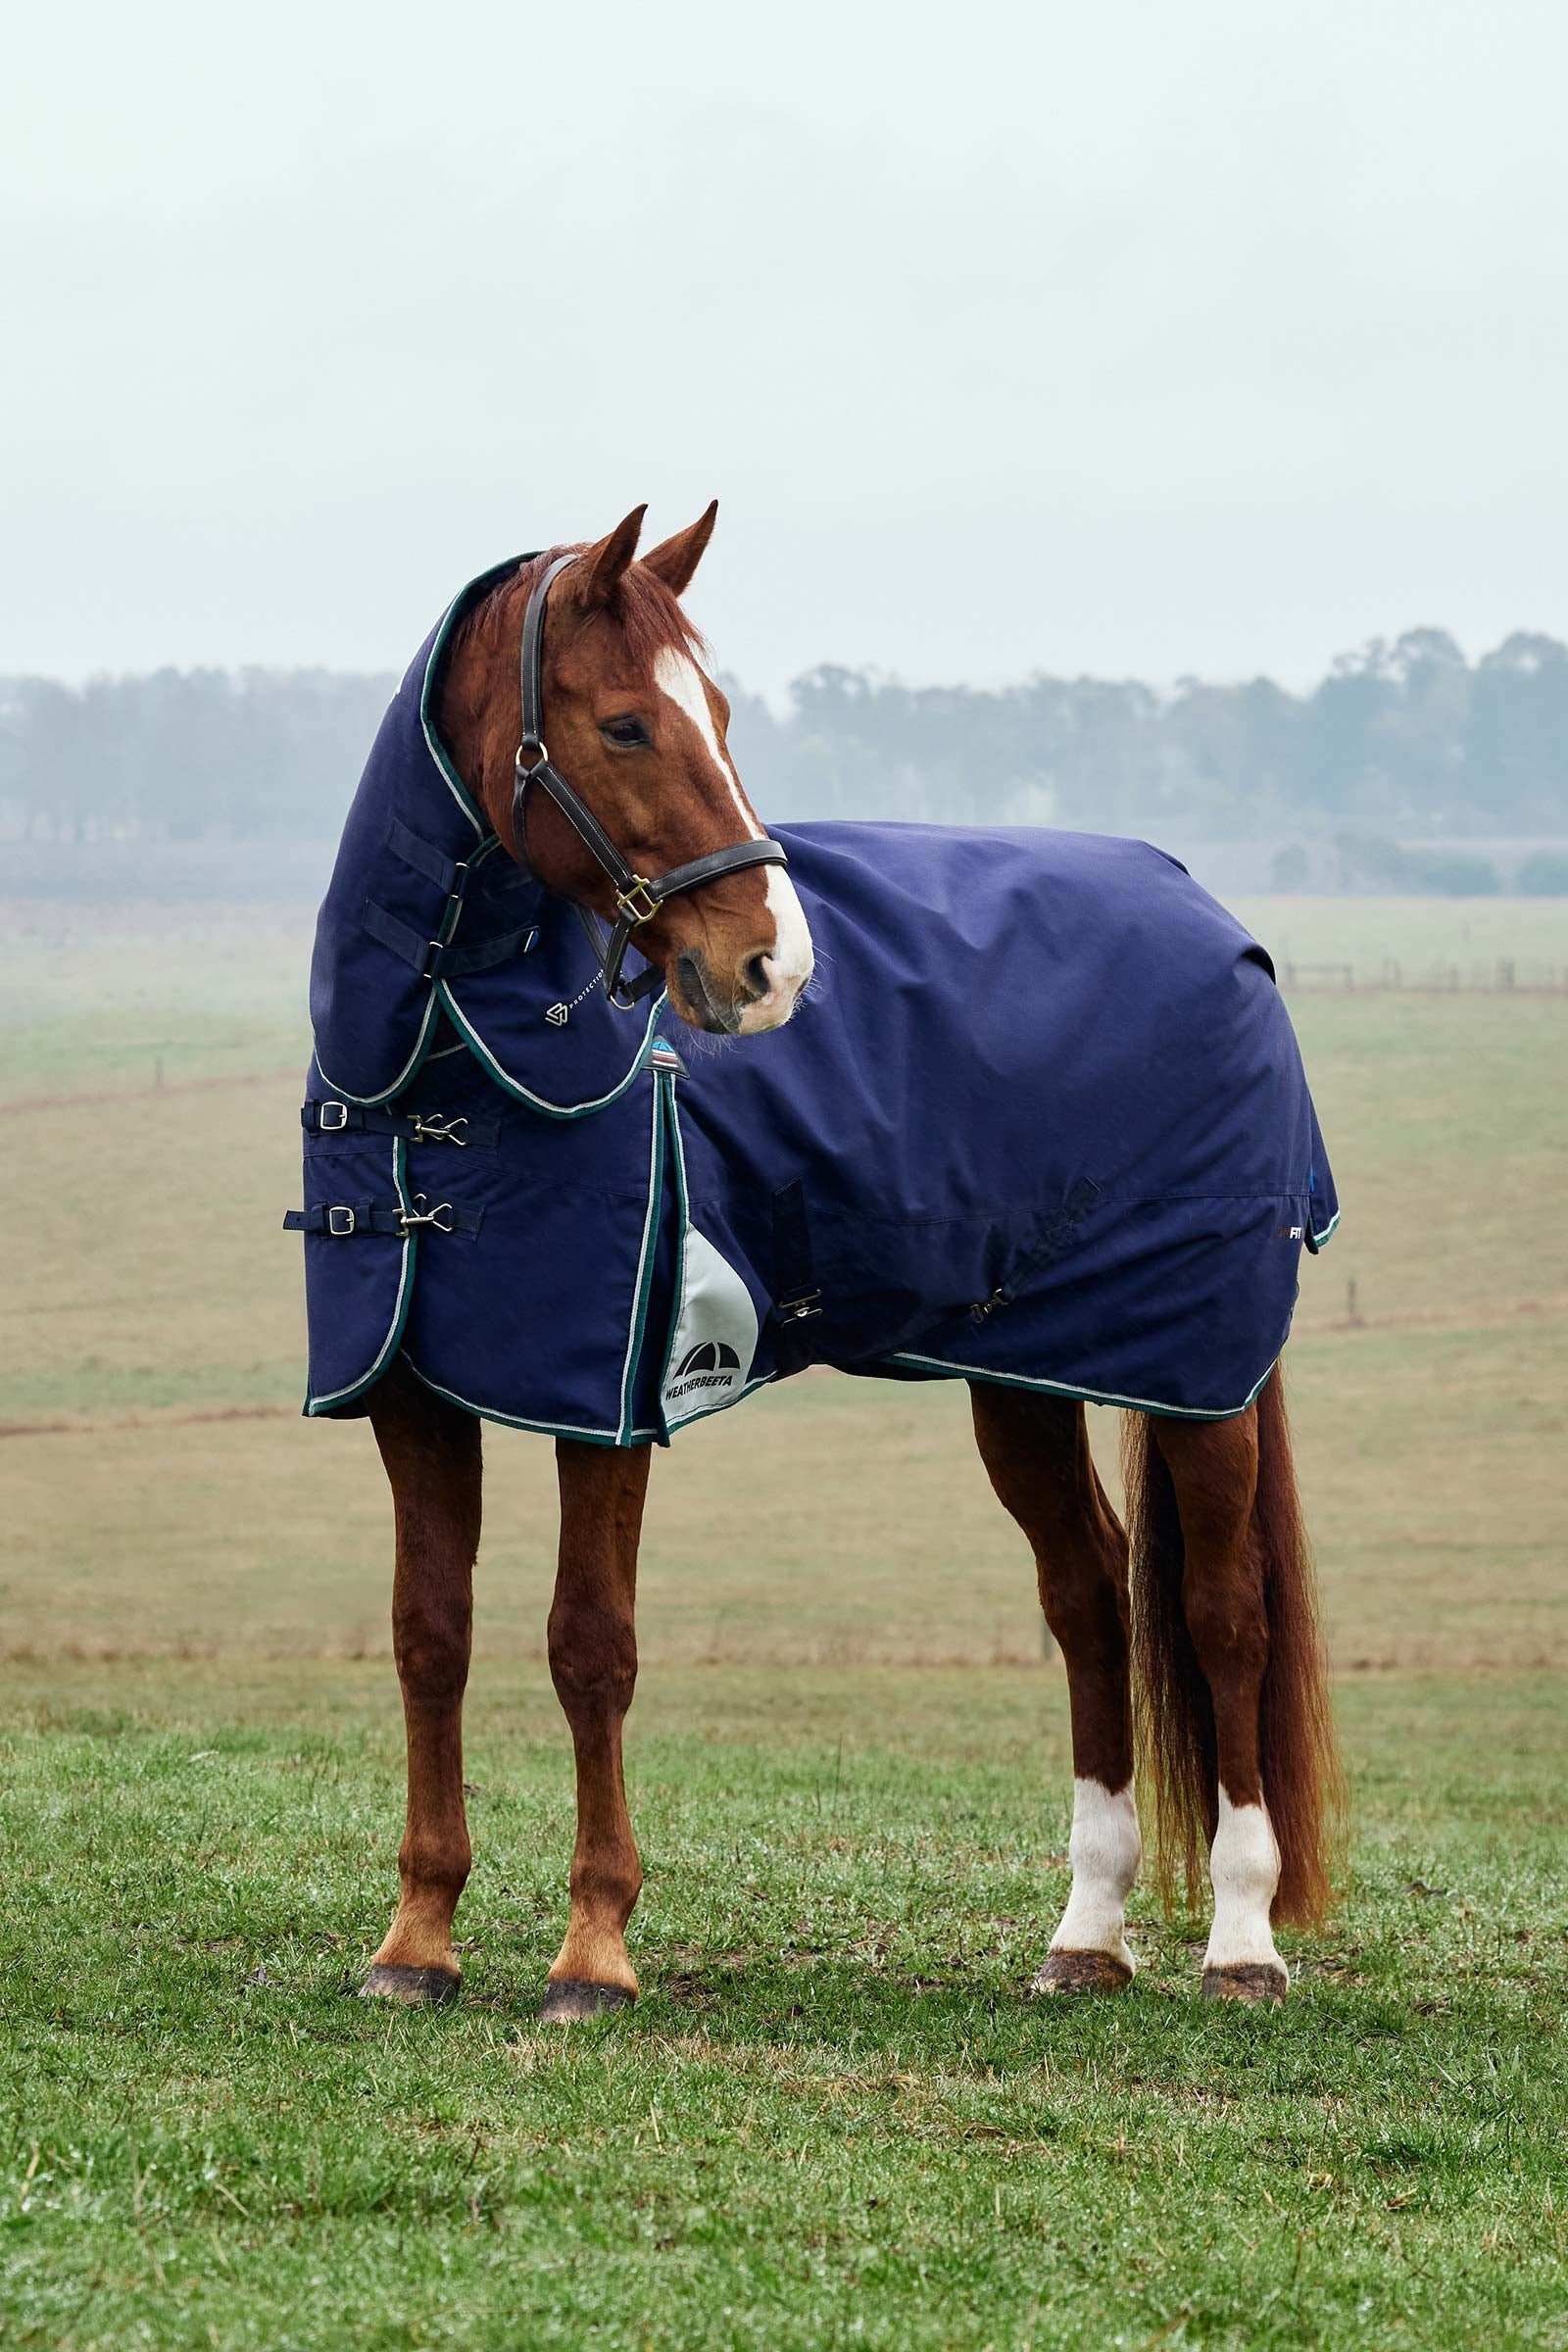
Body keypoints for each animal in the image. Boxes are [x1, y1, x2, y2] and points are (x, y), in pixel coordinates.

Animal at [298, 504, 1342, 2019]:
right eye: (624, 724)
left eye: (719, 714)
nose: (771, 968)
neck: (447, 1073)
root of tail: (1222, 929)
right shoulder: (413, 1395)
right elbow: (429, 1633)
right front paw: (416, 1940)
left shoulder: (609, 1401)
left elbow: (588, 1645)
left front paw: (593, 1953)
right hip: (1021, 1374)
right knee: (1089, 1600)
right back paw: (1085, 1935)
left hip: (1200, 1370)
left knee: (1222, 1614)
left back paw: (1243, 1944)